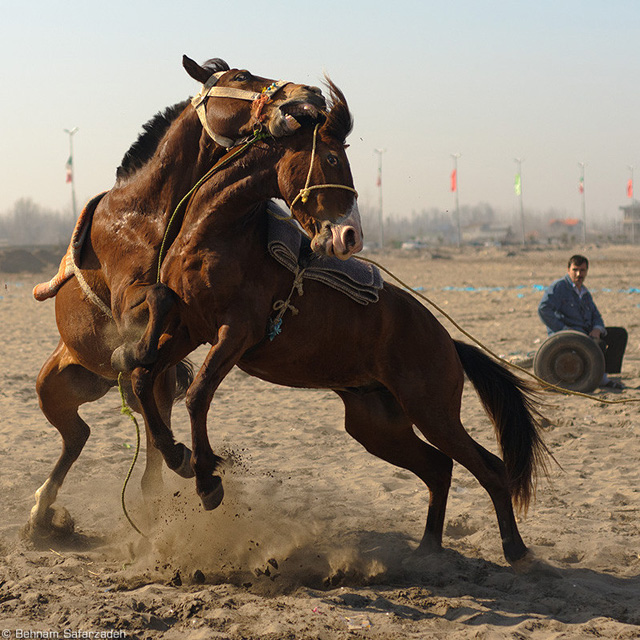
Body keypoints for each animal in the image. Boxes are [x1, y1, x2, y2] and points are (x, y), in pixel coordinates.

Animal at [30, 63, 362, 536]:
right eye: (241, 76)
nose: (310, 93)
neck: (148, 211)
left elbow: (164, 309)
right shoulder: (128, 299)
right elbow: (162, 297)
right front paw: (130, 351)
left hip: (132, 388)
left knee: (116, 436)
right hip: (50, 390)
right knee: (78, 436)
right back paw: (43, 511)